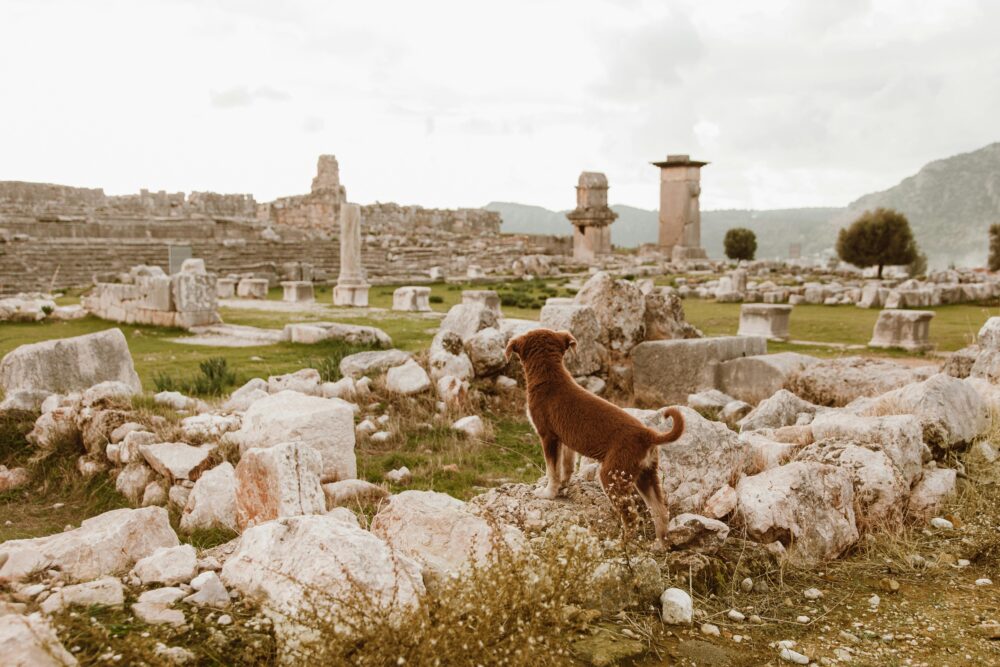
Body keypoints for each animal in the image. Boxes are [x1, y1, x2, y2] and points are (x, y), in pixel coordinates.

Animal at [504, 328, 684, 548]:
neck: (550, 376)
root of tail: (649, 435)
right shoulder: (565, 439)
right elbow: (566, 467)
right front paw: (563, 486)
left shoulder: (548, 436)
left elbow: (552, 470)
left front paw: (548, 493)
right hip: (645, 475)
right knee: (660, 511)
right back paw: (660, 545)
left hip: (612, 475)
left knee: (633, 517)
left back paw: (620, 544)